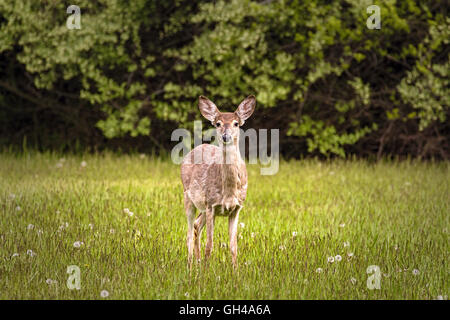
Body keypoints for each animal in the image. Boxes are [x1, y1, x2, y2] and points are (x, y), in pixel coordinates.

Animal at [180, 94, 256, 268]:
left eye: (236, 123)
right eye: (218, 123)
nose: (226, 136)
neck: (228, 191)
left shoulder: (237, 208)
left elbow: (233, 246)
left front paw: (235, 271)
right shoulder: (211, 205)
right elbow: (210, 245)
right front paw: (206, 272)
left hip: (202, 206)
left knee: (196, 225)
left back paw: (197, 263)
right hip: (188, 197)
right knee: (189, 233)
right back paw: (190, 266)